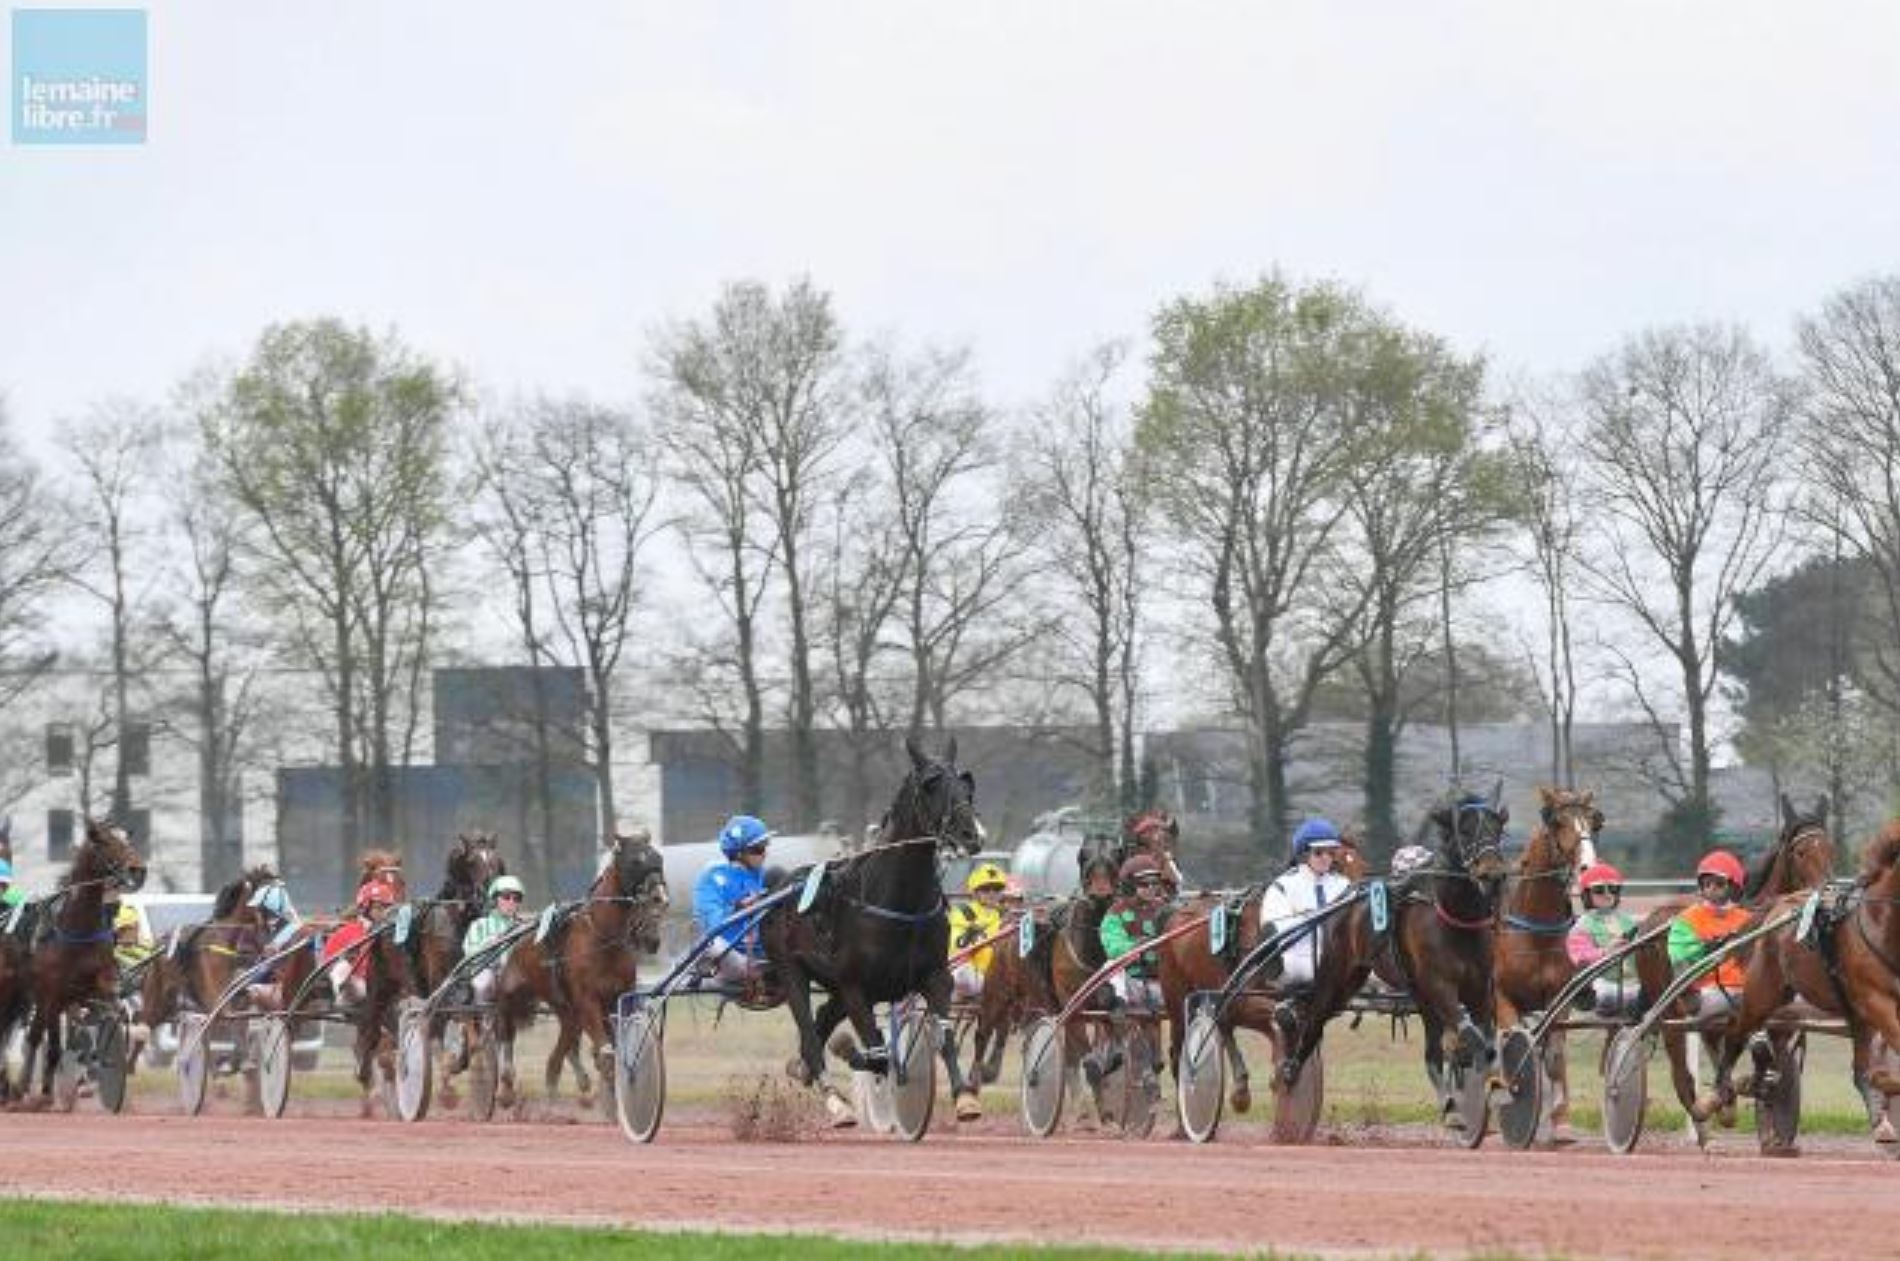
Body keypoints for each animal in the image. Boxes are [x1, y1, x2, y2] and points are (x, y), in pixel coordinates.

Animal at [15, 816, 146, 1101]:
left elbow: (114, 1011)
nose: (138, 870)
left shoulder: (98, 988)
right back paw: (27, 1089)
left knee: (40, 1035)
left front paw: (98, 1064)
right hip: (41, 998)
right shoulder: (52, 993)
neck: (77, 931)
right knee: (36, 1038)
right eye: (104, 841)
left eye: (129, 839)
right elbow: (52, 1046)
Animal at [494, 831, 672, 1109]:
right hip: (512, 994)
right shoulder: (587, 1000)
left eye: (658, 857)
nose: (660, 898)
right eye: (635, 860)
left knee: (556, 1057)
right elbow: (606, 1052)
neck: (602, 939)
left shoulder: (619, 998)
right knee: (506, 1031)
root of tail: (517, 938)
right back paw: (506, 1088)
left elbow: (617, 1049)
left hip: (567, 1013)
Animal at [756, 733, 988, 1124]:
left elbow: (944, 1037)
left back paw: (805, 1069)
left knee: (821, 1021)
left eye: (966, 784)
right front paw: (852, 1055)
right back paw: (835, 1102)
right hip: (792, 971)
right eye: (931, 785)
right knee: (810, 1033)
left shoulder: (935, 976)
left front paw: (965, 1098)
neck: (899, 900)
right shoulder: (855, 986)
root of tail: (779, 885)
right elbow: (877, 1053)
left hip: (836, 986)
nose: (972, 834)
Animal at [1489, 790, 1596, 1131]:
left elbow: (1554, 1057)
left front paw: (1559, 1119)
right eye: (1557, 821)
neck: (1535, 931)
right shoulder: (1502, 998)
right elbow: (1512, 1048)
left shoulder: (1558, 999)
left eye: (1593, 822)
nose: (1588, 866)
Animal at [1694, 812, 1900, 1147]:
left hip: (1851, 1012)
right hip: (1763, 993)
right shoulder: (1877, 1001)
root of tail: (1779, 906)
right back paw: (1716, 1098)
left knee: (1858, 1070)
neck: (1884, 926)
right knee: (1735, 1033)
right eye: (1800, 852)